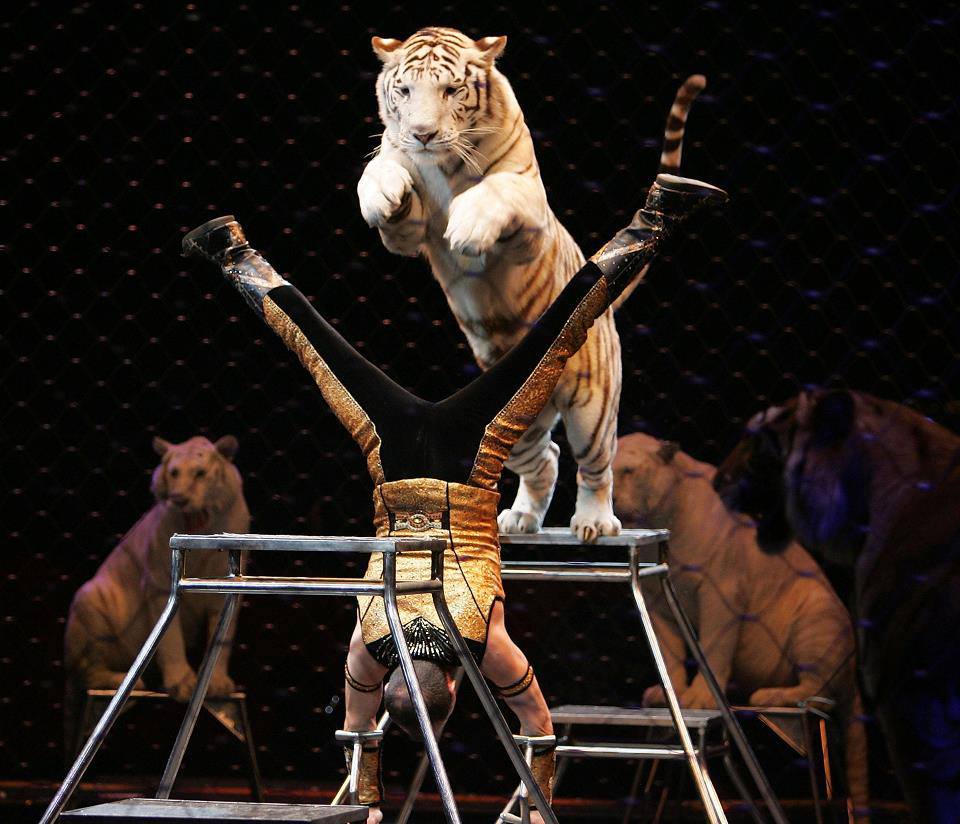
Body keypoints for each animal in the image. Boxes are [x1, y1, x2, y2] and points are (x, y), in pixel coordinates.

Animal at [357, 26, 706, 542]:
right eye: (403, 91)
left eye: (451, 90)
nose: (422, 134)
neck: (443, 165)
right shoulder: (406, 232)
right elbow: (380, 171)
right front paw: (382, 191)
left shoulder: (529, 216)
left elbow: (497, 191)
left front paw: (467, 224)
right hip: (510, 424)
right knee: (545, 459)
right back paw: (521, 518)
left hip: (591, 408)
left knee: (594, 466)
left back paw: (594, 522)